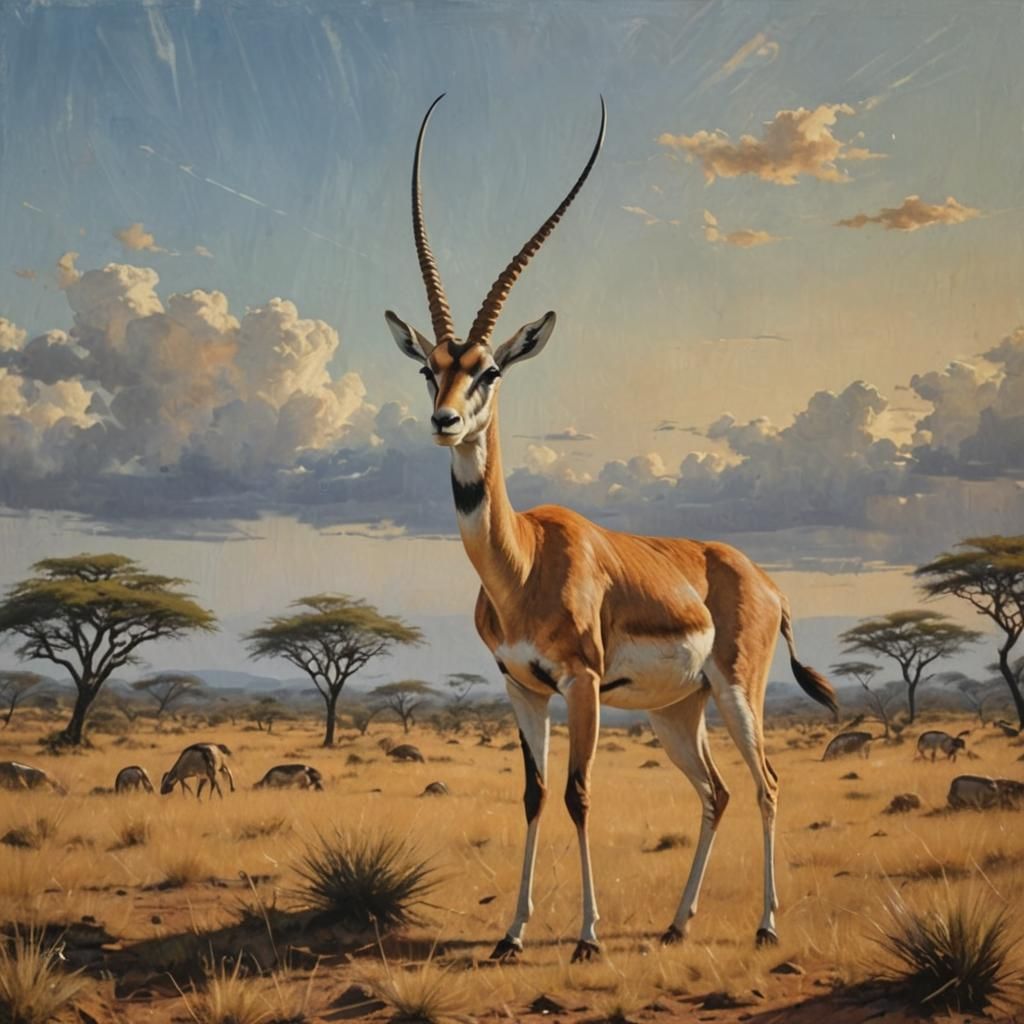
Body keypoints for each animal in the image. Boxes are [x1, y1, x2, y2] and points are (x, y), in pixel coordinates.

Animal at [385, 95, 838, 961]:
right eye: (431, 366)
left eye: (490, 369)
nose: (444, 421)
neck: (522, 564)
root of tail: (764, 581)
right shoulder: (521, 687)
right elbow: (533, 795)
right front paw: (512, 935)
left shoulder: (583, 684)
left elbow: (579, 793)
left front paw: (587, 936)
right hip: (677, 711)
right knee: (719, 792)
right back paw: (675, 923)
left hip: (736, 693)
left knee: (765, 783)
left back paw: (765, 925)